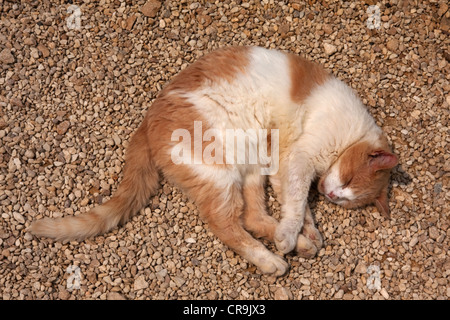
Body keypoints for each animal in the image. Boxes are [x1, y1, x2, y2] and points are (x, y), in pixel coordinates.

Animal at [30, 46, 398, 276]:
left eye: (346, 199)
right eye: (348, 180)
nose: (332, 195)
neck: (350, 135)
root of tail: (148, 120)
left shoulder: (282, 165)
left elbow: (298, 205)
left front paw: (307, 232)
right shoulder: (298, 159)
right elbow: (296, 203)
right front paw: (291, 234)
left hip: (252, 164)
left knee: (252, 217)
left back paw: (301, 246)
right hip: (221, 172)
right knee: (226, 225)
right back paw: (272, 259)